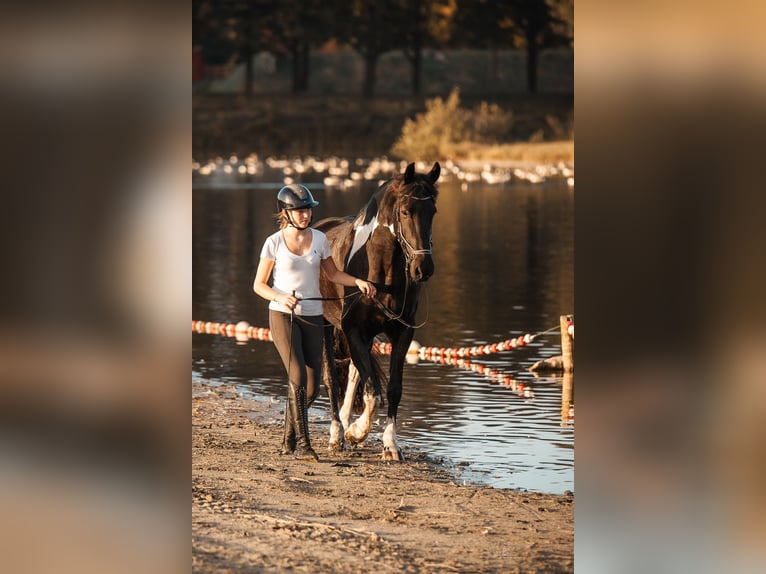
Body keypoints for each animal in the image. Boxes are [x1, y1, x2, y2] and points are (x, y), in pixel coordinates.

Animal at [316, 162, 440, 464]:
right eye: (405, 211)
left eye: (433, 211)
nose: (423, 268)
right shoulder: (353, 330)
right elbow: (373, 392)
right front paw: (356, 432)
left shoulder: (401, 333)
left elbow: (392, 389)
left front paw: (390, 445)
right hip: (326, 326)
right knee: (332, 379)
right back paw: (338, 434)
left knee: (353, 373)